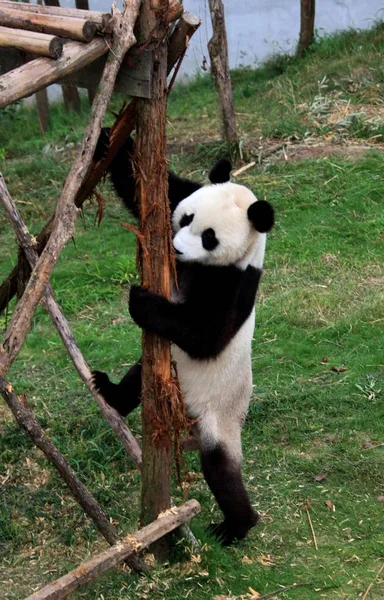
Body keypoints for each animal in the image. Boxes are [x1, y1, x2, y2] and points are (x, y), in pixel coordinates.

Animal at [92, 134, 272, 548]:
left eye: (209, 238)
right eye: (186, 218)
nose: (175, 249)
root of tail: (187, 417)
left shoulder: (233, 283)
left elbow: (205, 336)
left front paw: (140, 299)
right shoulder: (181, 195)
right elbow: (151, 189)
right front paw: (109, 137)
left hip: (219, 418)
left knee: (221, 470)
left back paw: (237, 526)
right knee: (138, 377)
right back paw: (109, 391)